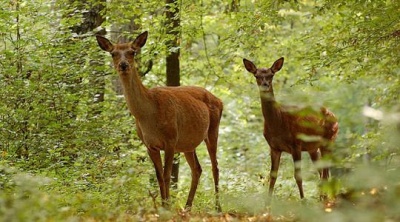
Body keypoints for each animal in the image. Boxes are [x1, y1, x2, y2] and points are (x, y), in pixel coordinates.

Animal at [95, 31, 223, 212]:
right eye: (113, 53)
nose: (123, 65)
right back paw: (187, 207)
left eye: (132, 52)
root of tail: (219, 100)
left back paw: (218, 208)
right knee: (197, 169)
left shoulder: (170, 140)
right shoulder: (150, 145)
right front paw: (163, 207)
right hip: (188, 143)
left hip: (213, 130)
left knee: (215, 167)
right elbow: (159, 176)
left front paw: (167, 207)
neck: (148, 115)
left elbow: (167, 175)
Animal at [242, 57, 340, 199]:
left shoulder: (296, 144)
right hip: (313, 148)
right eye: (256, 75)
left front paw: (303, 200)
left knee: (326, 173)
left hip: (329, 139)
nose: (265, 84)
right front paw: (267, 203)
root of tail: (334, 116)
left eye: (271, 75)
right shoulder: (274, 147)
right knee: (324, 173)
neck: (278, 123)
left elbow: (298, 176)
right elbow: (272, 176)